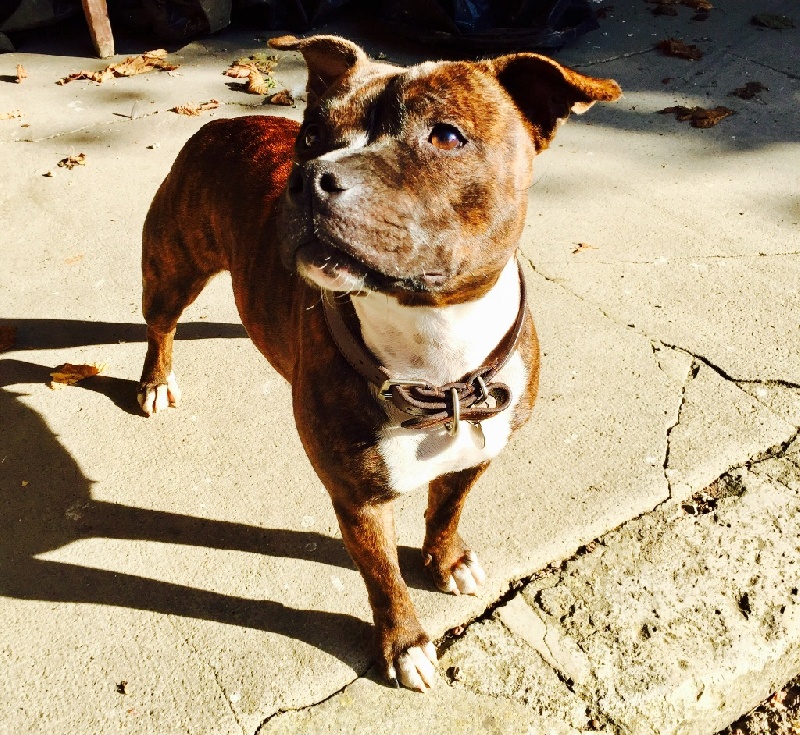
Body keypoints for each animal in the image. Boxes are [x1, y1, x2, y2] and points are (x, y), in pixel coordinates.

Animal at [138, 34, 621, 691]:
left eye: (446, 136)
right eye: (311, 136)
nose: (309, 177)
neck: (438, 351)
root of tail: (225, 123)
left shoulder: (477, 454)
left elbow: (446, 511)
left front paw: (446, 559)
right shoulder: (360, 499)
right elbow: (383, 577)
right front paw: (406, 644)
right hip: (172, 266)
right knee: (160, 323)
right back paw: (156, 380)